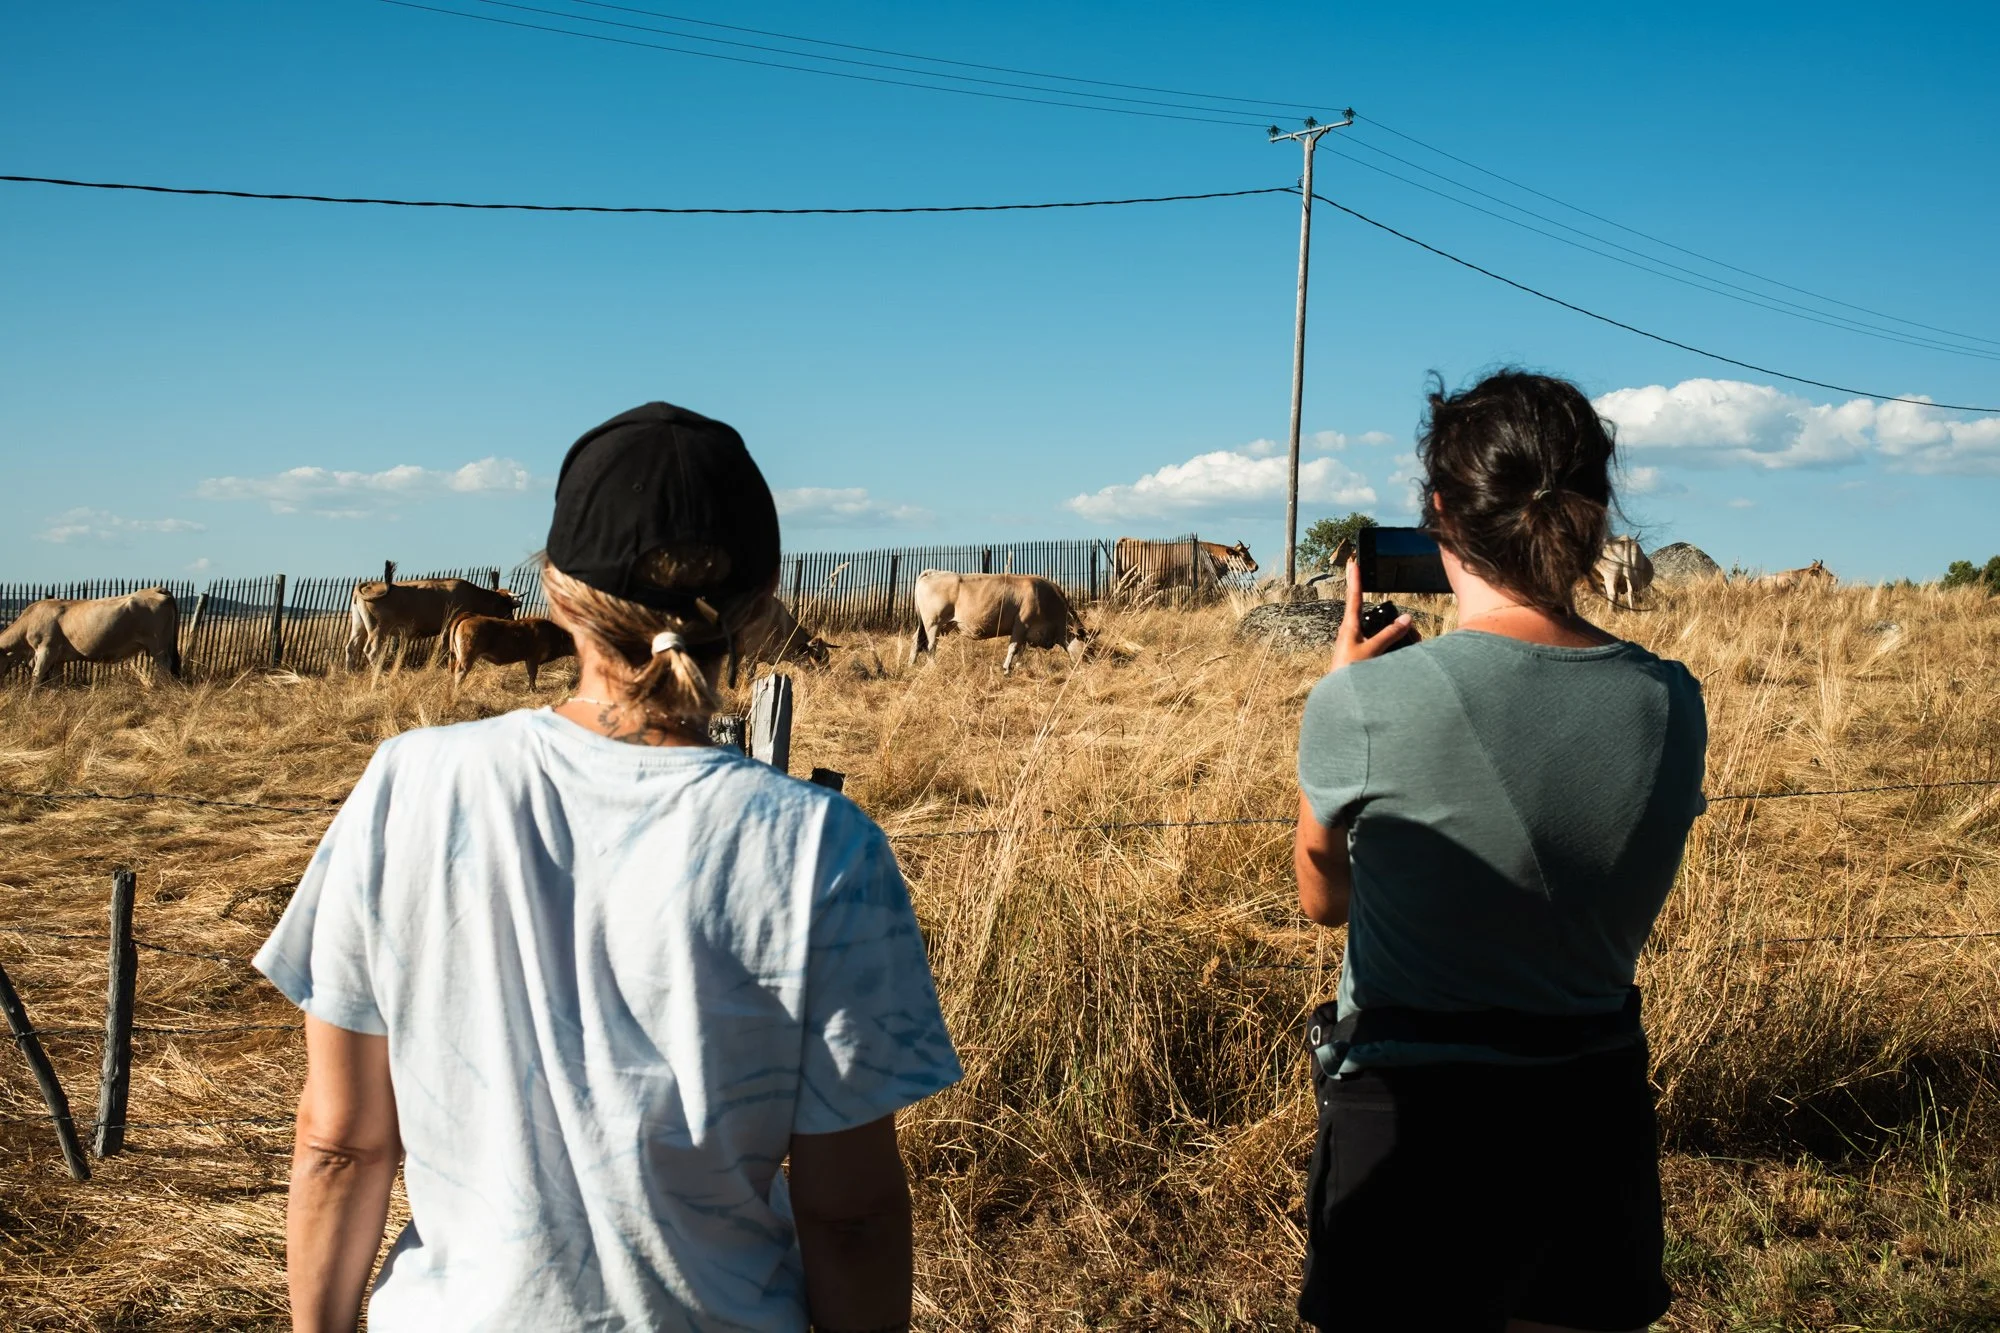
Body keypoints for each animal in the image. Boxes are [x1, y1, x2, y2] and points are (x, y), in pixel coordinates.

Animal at [0, 587, 180, 688]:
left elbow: (36, 679)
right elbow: (55, 682)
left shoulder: (46, 651)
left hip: (158, 647)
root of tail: (156, 589)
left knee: (164, 669)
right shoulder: (58, 658)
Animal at [346, 577, 517, 670]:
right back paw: (379, 672)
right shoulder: (448, 627)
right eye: (506, 605)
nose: (511, 620)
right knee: (372, 650)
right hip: (378, 629)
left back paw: (351, 672)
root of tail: (370, 585)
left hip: (359, 626)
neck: (474, 596)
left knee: (351, 646)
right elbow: (443, 648)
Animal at [909, 571, 1089, 674]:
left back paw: (911, 664)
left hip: (923, 625)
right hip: (933, 623)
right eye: (1089, 647)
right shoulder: (1021, 625)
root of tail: (933, 572)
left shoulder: (1026, 631)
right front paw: (1006, 668)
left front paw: (1019, 667)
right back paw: (932, 667)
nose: (1091, 665)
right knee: (930, 646)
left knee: (916, 641)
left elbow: (1021, 649)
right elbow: (1013, 648)